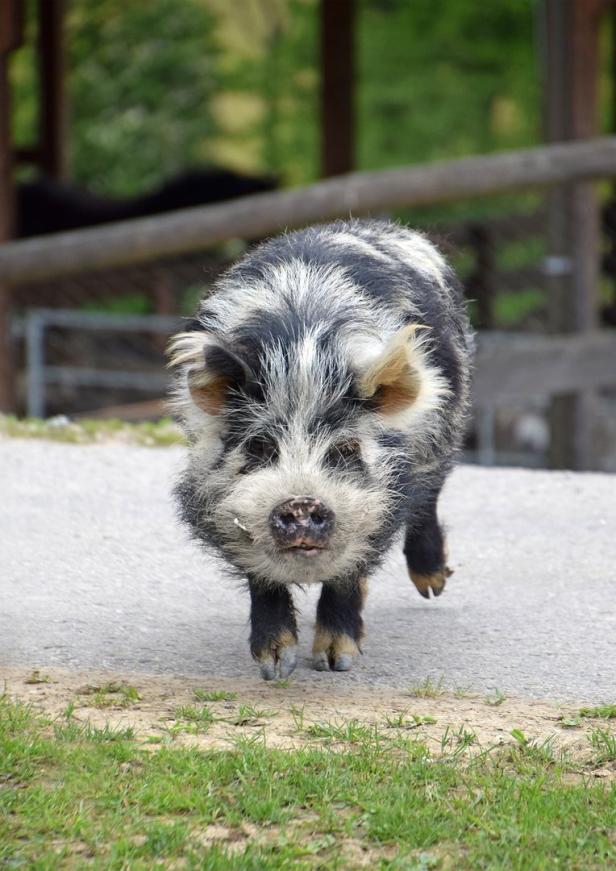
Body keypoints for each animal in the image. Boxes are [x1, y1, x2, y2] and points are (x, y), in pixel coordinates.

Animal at [168, 218, 472, 680]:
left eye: (345, 448)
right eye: (260, 445)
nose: (300, 502)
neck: (303, 359)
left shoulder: (382, 498)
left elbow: (350, 569)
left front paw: (335, 663)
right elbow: (261, 576)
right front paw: (275, 667)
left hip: (446, 429)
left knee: (428, 498)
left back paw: (433, 587)